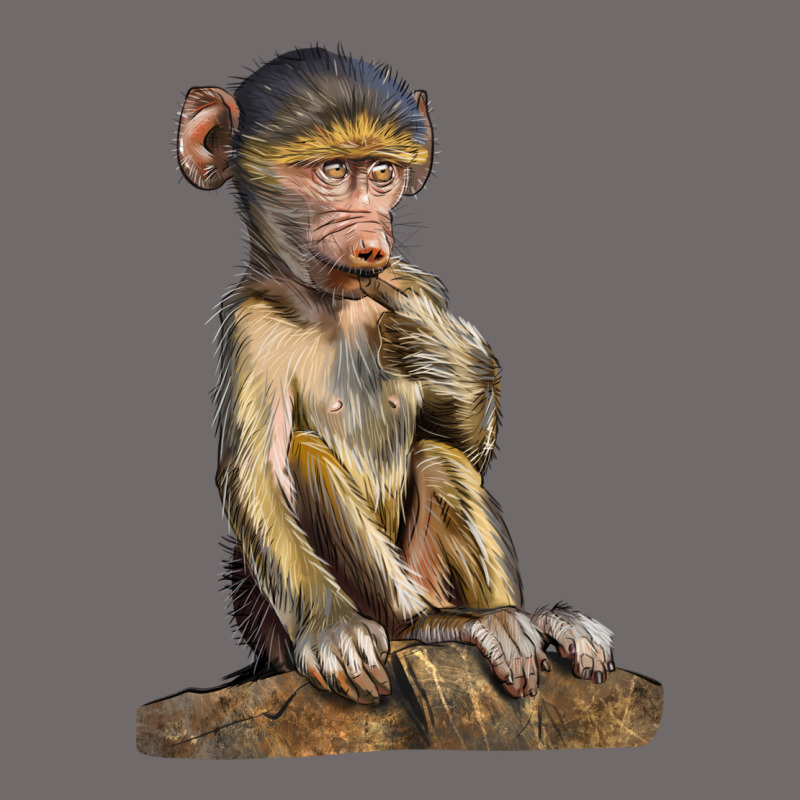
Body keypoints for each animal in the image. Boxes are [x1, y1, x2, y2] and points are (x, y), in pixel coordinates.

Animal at [176, 47, 614, 705]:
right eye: (333, 170)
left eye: (382, 172)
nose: (371, 243)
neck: (328, 304)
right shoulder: (250, 328)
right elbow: (255, 475)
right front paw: (330, 629)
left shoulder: (416, 285)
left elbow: (462, 446)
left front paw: (449, 355)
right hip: (302, 614)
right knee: (307, 456)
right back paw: (429, 626)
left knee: (440, 460)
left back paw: (526, 620)